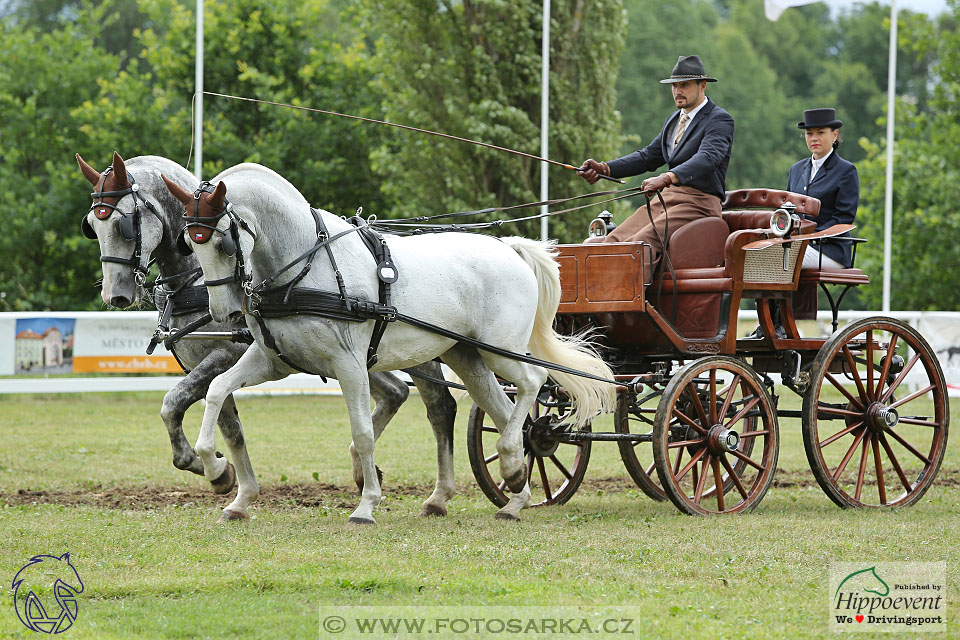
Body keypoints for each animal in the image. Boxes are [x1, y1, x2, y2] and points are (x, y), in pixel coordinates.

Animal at [77, 151, 460, 516]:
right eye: (92, 225)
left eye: (124, 224)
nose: (116, 295)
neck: (195, 281)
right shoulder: (206, 363)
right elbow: (230, 429)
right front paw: (220, 472)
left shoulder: (225, 354)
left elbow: (172, 403)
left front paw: (209, 467)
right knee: (396, 392)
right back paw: (364, 472)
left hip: (415, 352)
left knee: (439, 406)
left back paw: (436, 496)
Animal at [162, 162, 616, 524]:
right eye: (189, 240)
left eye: (223, 241)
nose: (223, 312)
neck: (305, 265)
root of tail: (510, 248)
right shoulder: (272, 361)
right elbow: (217, 390)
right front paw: (218, 472)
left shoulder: (348, 364)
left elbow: (363, 432)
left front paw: (366, 505)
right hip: (466, 357)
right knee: (505, 412)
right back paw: (514, 488)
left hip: (498, 349)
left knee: (532, 382)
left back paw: (509, 468)